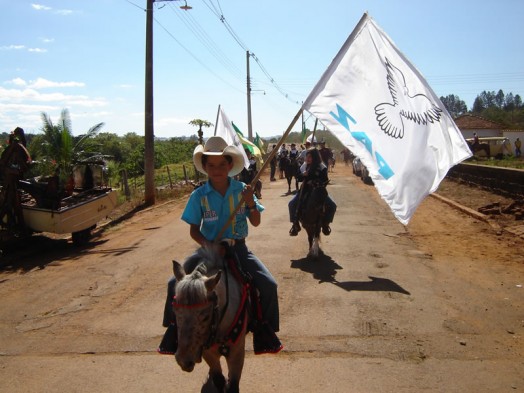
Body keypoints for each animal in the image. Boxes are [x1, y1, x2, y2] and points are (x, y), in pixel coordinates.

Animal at [169, 247, 249, 390]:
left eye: (206, 316)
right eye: (174, 310)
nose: (184, 361)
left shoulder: (237, 353)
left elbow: (233, 385)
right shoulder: (206, 351)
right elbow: (218, 379)